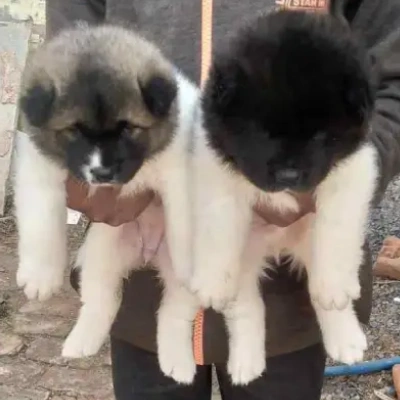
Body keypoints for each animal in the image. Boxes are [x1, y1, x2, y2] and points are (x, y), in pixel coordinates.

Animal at [14, 24, 199, 378]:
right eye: (74, 129)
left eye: (128, 128)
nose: (102, 172)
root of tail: (147, 254)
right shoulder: (38, 165)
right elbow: (41, 220)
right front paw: (41, 275)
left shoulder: (183, 172)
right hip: (102, 251)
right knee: (102, 298)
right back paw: (81, 342)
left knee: (174, 312)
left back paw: (177, 363)